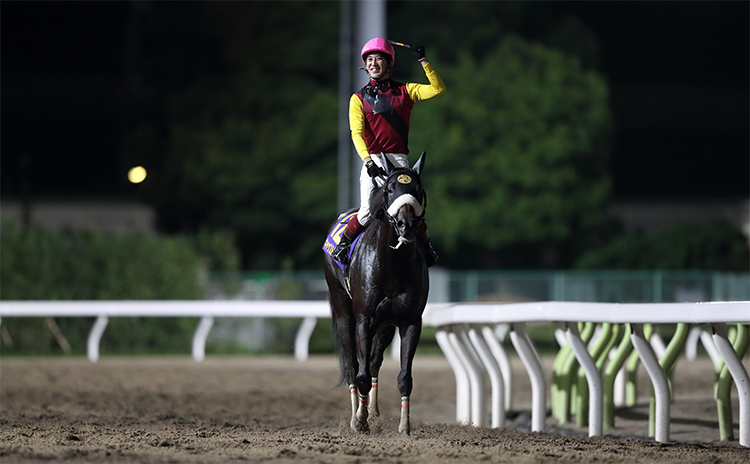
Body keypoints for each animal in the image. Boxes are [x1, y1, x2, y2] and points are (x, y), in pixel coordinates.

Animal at [322, 152, 428, 436]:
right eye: (390, 189)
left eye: (417, 190)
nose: (406, 224)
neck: (392, 264)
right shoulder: (364, 319)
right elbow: (360, 376)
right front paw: (360, 420)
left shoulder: (410, 321)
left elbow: (404, 377)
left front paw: (404, 426)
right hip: (343, 310)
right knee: (352, 366)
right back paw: (356, 416)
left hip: (386, 325)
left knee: (372, 364)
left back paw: (374, 413)